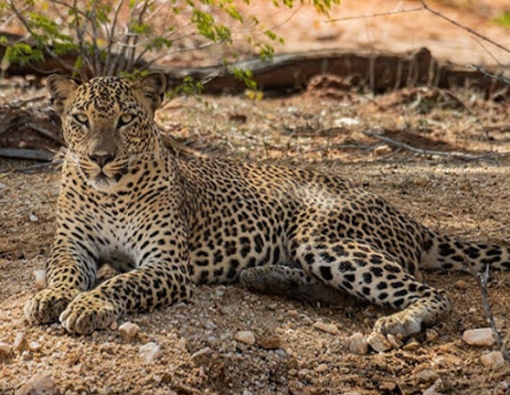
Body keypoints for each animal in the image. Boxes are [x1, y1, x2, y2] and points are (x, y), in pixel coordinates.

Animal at [23, 72, 510, 338]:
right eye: (80, 119)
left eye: (126, 120)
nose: (100, 158)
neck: (111, 192)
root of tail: (411, 221)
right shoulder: (72, 245)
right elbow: (64, 272)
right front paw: (51, 296)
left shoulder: (167, 265)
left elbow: (120, 283)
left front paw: (87, 306)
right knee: (340, 292)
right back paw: (268, 277)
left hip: (324, 238)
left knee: (429, 293)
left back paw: (400, 321)